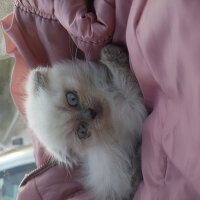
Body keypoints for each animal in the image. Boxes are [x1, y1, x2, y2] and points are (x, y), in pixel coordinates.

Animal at [24, 45, 147, 200]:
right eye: (82, 131)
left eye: (72, 99)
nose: (91, 113)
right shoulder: (133, 108)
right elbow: (125, 80)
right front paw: (111, 56)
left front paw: (109, 54)